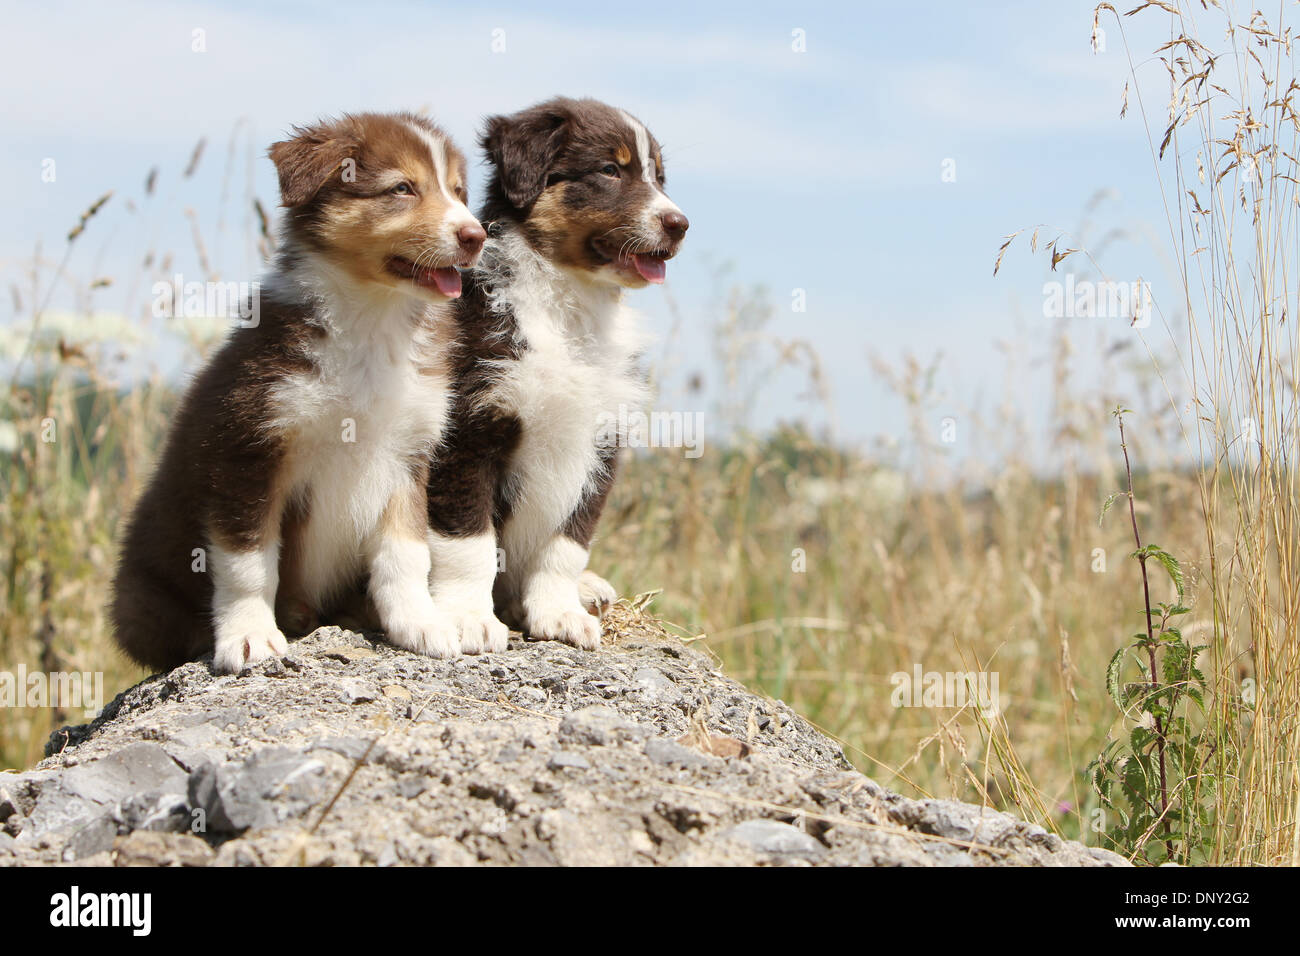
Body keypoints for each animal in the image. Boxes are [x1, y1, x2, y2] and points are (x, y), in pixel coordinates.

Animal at [426, 95, 691, 650]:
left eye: (658, 176)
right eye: (610, 170)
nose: (680, 224)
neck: (571, 303)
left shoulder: (600, 444)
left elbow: (567, 543)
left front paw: (560, 613)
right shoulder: (466, 432)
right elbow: (469, 541)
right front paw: (468, 618)